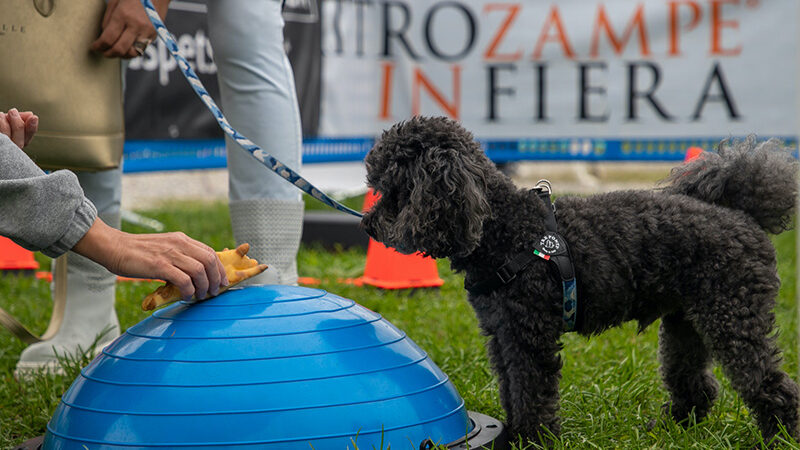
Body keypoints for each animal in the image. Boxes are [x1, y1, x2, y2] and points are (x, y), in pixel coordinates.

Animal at [362, 115, 800, 442]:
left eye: (395, 189)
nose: (367, 224)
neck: (501, 227)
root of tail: (742, 215)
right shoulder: (502, 334)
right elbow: (510, 388)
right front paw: (513, 435)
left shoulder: (529, 335)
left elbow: (531, 392)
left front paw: (532, 440)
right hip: (686, 322)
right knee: (694, 382)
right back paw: (670, 428)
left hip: (733, 317)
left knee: (768, 382)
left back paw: (780, 435)